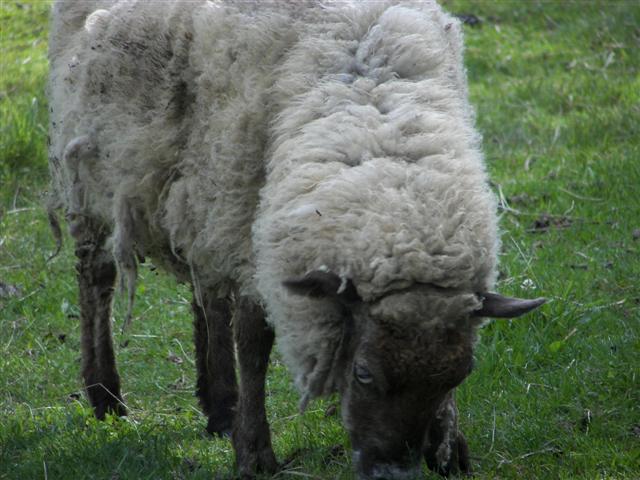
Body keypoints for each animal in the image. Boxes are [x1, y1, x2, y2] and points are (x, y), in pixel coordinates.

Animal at [47, 1, 545, 478]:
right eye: (362, 373)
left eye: (458, 377)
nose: (392, 473)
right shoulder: (251, 227)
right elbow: (254, 341)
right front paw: (254, 453)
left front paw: (450, 448)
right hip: (96, 171)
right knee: (97, 279)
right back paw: (106, 396)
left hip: (203, 193)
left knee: (207, 292)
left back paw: (218, 403)